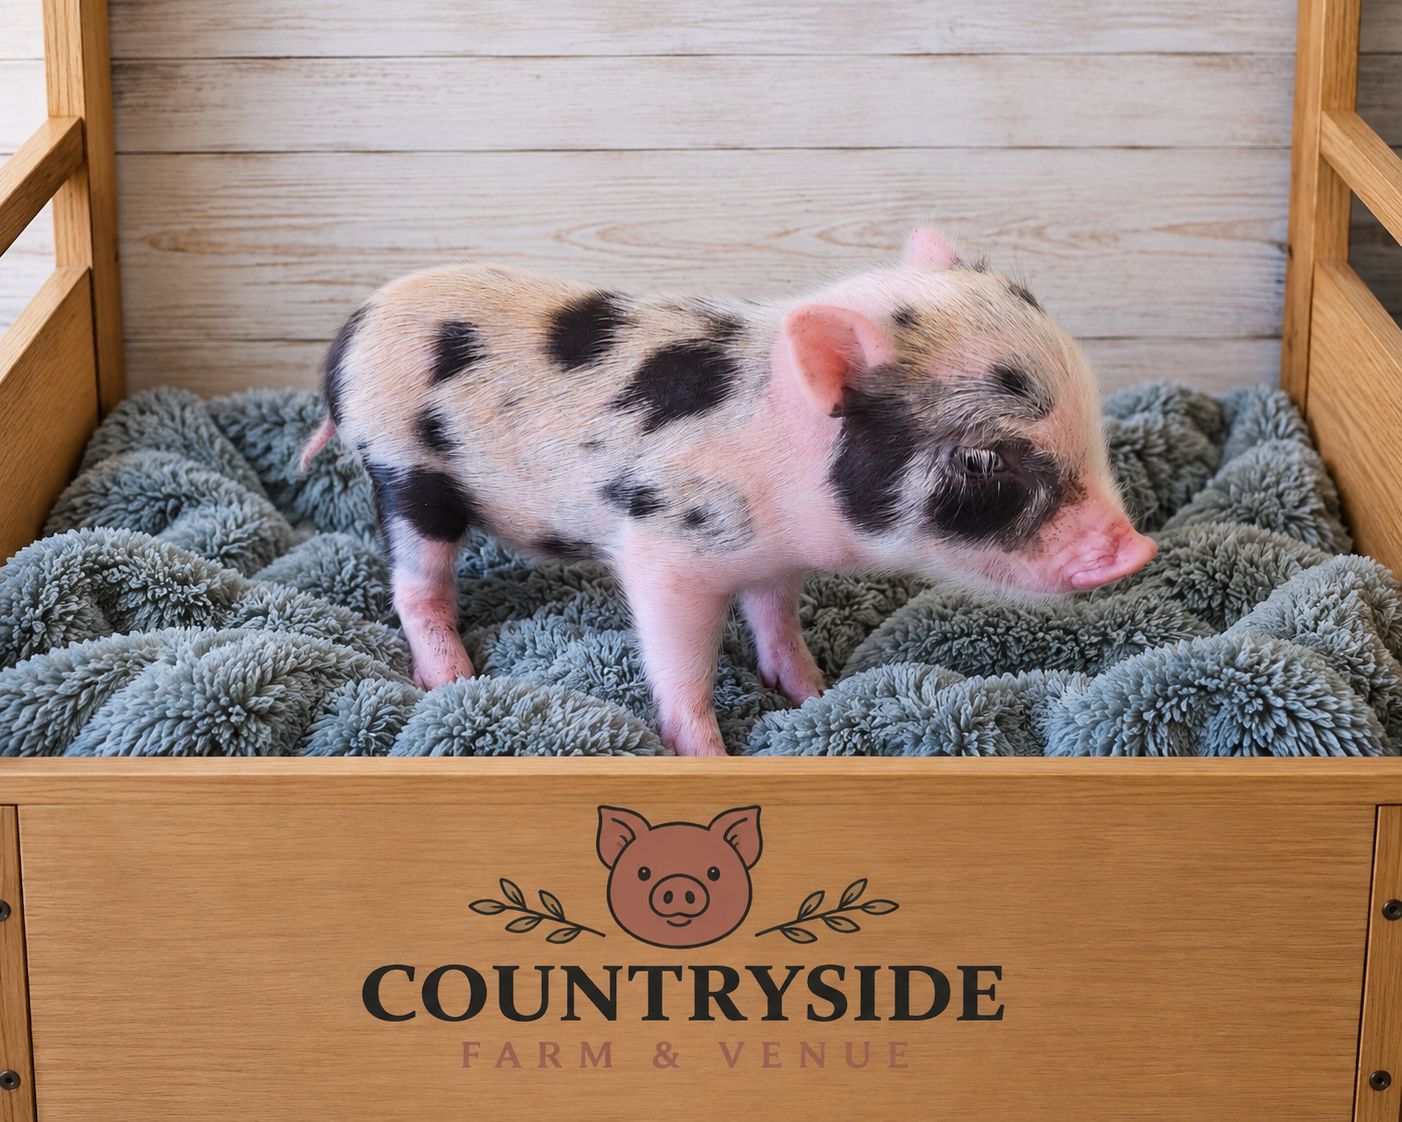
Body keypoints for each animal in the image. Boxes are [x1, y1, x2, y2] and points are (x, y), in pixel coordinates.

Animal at [300, 228, 1156, 757]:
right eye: (982, 463)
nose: (1138, 551)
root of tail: (351, 330)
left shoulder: (774, 561)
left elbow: (778, 621)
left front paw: (812, 693)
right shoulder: (666, 551)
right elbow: (681, 663)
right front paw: (708, 752)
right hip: (406, 473)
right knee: (414, 587)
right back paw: (453, 679)